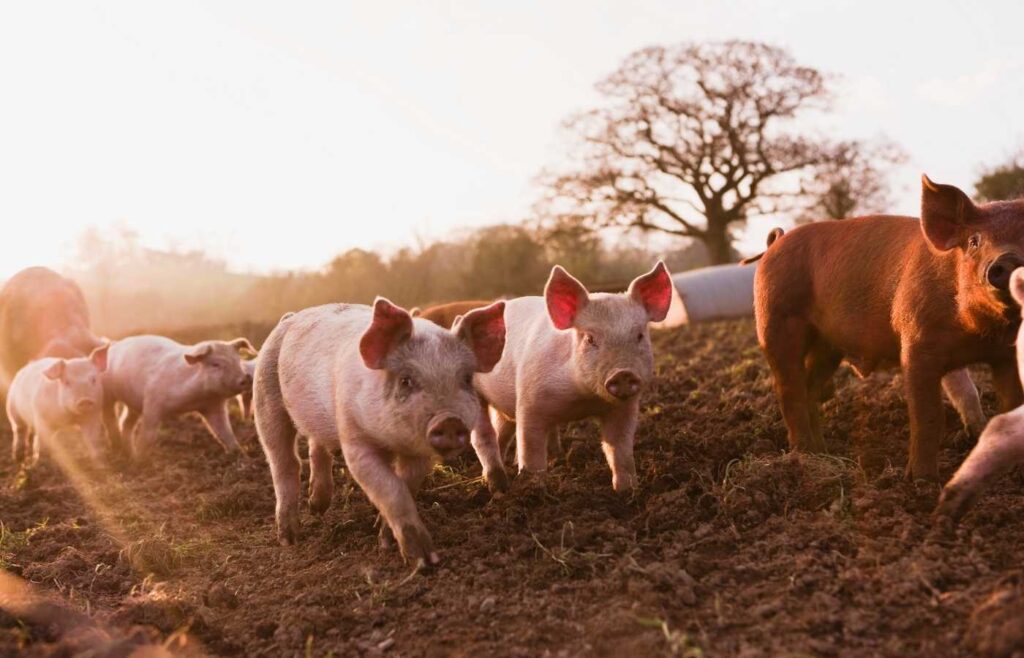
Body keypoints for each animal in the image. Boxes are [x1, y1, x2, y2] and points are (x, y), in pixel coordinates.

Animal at [100, 335, 256, 458]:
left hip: (133, 404)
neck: (195, 399)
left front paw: (242, 456)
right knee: (110, 417)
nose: (246, 378)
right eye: (215, 364)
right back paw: (119, 447)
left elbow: (225, 433)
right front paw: (140, 460)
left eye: (238, 360)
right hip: (107, 393)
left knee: (126, 423)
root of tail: (114, 344)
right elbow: (149, 435)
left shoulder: (213, 406)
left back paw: (128, 452)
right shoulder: (152, 401)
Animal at [468, 261, 671, 495]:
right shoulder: (530, 401)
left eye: (639, 335)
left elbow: (619, 450)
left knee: (503, 430)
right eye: (590, 338)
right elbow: (531, 450)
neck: (583, 400)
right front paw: (535, 489)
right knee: (484, 436)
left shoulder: (624, 409)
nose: (623, 373)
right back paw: (496, 484)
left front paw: (627, 491)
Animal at [753, 178, 1024, 480]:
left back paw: (823, 451)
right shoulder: (916, 345)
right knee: (790, 390)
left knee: (810, 388)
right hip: (776, 323)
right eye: (974, 241)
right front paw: (921, 480)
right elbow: (928, 416)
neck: (977, 333)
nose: (1008, 260)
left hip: (828, 347)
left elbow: (1007, 404)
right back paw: (803, 456)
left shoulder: (1006, 355)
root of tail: (776, 243)